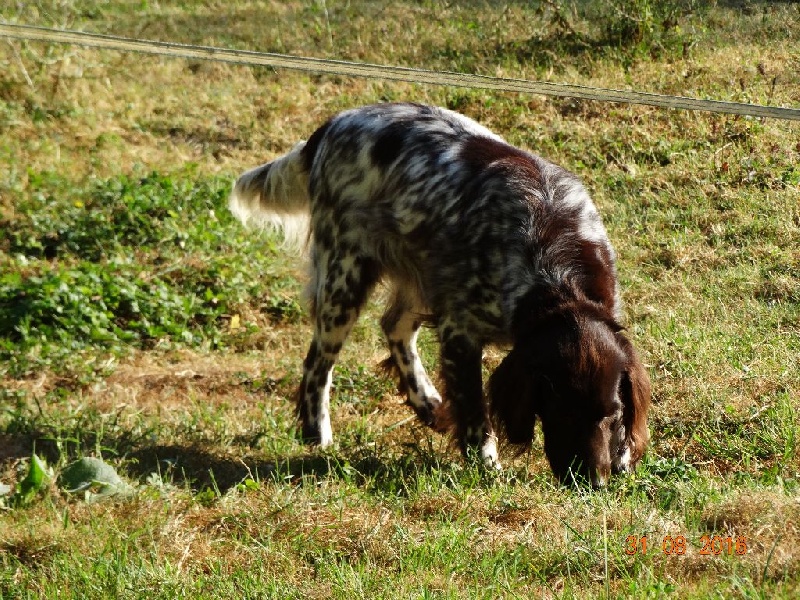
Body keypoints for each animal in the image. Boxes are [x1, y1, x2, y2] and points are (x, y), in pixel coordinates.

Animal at [230, 102, 648, 488]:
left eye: (611, 413)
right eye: (562, 410)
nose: (593, 482)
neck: (557, 275)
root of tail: (332, 125)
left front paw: (623, 459)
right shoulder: (460, 332)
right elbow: (476, 414)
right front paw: (487, 466)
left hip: (423, 272)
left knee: (393, 327)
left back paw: (426, 402)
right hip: (343, 281)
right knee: (318, 363)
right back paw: (317, 432)